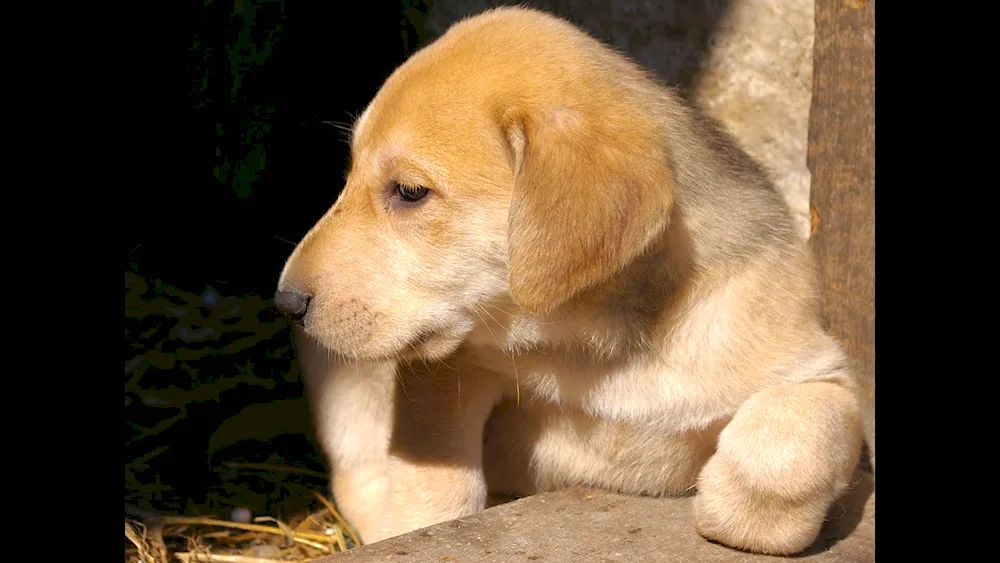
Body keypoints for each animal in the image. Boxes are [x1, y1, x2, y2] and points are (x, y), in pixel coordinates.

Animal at [276, 6, 876, 556]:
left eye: (409, 192)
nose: (286, 302)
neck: (592, 345)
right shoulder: (447, 372)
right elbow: (434, 483)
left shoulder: (827, 379)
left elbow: (786, 448)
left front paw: (730, 503)